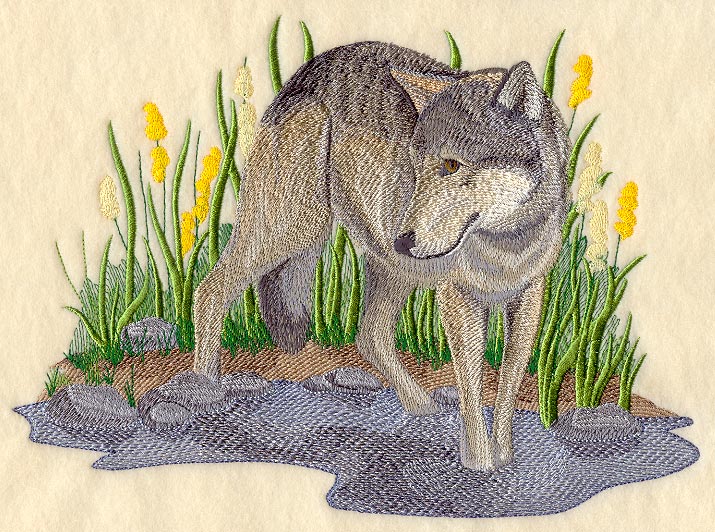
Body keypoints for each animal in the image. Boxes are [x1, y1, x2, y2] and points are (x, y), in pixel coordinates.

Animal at [192, 41, 570, 470]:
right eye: (417, 167)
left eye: (451, 165)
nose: (403, 240)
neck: (506, 240)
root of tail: (308, 69)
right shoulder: (459, 298)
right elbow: (472, 383)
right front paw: (478, 463)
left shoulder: (529, 294)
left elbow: (507, 381)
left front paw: (505, 457)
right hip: (292, 233)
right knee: (209, 291)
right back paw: (205, 387)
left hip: (389, 267)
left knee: (369, 337)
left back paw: (421, 406)